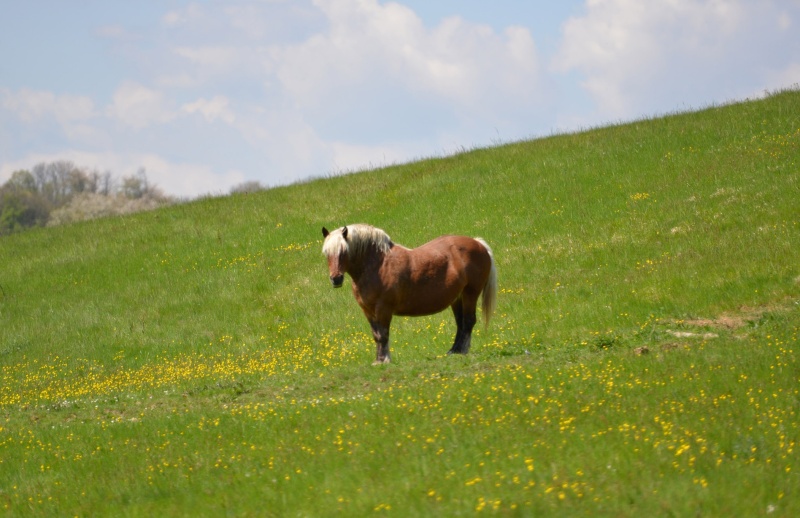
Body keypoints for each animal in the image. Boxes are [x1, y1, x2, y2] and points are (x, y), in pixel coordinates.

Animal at [322, 224, 496, 366]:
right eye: (326, 254)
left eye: (344, 251)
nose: (336, 279)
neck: (378, 266)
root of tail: (478, 243)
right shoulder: (368, 311)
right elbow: (376, 335)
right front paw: (378, 360)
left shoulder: (383, 309)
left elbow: (383, 334)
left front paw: (385, 360)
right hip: (457, 298)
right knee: (461, 324)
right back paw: (454, 351)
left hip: (470, 294)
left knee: (468, 321)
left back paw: (463, 351)